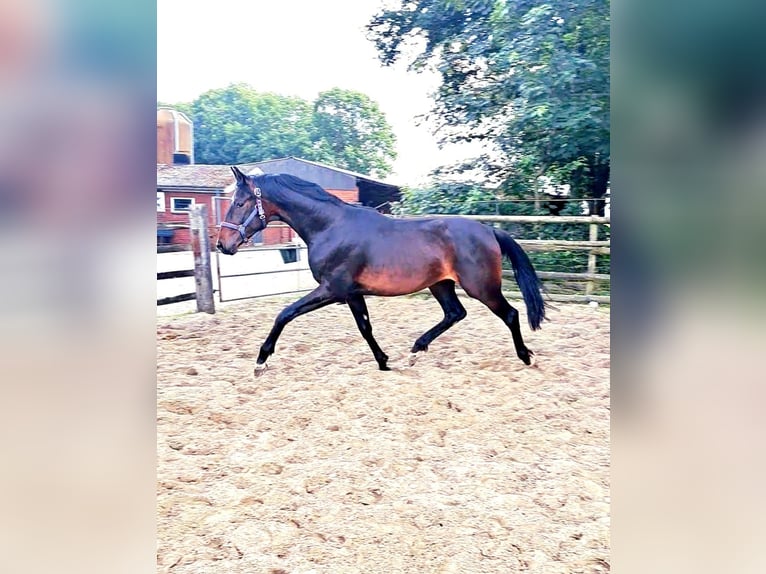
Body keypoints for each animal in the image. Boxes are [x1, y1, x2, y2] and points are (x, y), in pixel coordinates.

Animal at [219, 166, 548, 376]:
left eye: (240, 202)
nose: (223, 244)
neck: (329, 227)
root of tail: (489, 230)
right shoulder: (352, 294)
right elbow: (365, 328)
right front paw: (384, 362)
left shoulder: (332, 289)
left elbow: (284, 314)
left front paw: (261, 361)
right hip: (440, 284)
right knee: (455, 313)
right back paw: (415, 350)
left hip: (481, 287)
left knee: (510, 314)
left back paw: (527, 357)